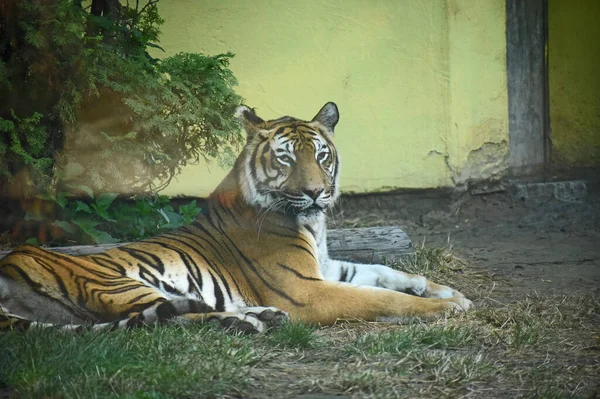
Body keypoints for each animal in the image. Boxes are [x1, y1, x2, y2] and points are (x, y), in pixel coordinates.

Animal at [0, 103, 474, 334]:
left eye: (321, 155)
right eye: (286, 158)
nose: (315, 191)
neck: (312, 224)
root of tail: (9, 261)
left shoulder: (326, 267)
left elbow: (383, 271)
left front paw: (445, 290)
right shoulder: (305, 289)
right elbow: (381, 298)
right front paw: (446, 306)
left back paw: (255, 318)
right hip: (118, 284)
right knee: (166, 318)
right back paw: (245, 321)